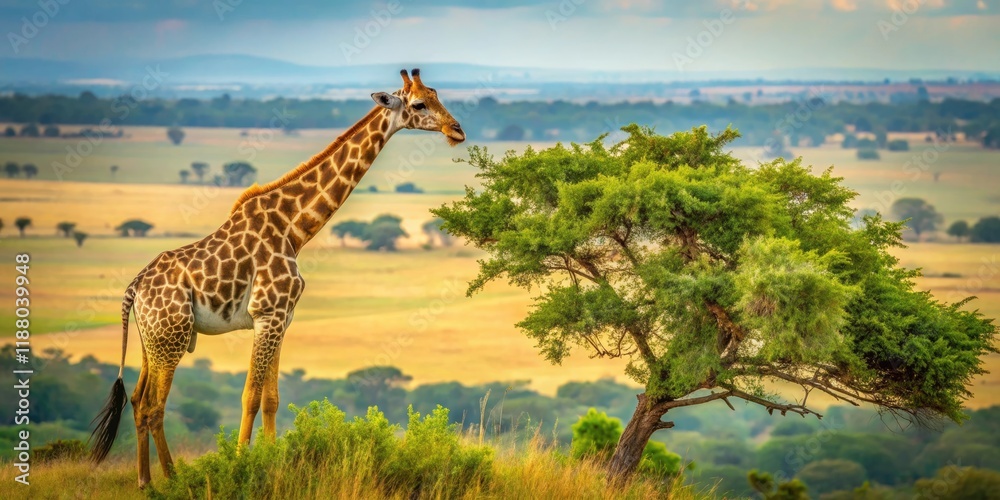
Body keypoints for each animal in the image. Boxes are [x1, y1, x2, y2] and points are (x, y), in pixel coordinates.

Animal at [88, 69, 465, 489]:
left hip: (152, 340)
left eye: (436, 95)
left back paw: (148, 480)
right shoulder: (268, 314)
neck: (294, 229)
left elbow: (271, 399)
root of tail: (133, 289)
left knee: (139, 401)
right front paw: (240, 465)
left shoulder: (283, 317)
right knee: (154, 405)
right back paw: (171, 479)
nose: (457, 130)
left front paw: (270, 462)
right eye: (418, 104)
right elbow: (250, 396)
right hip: (170, 339)